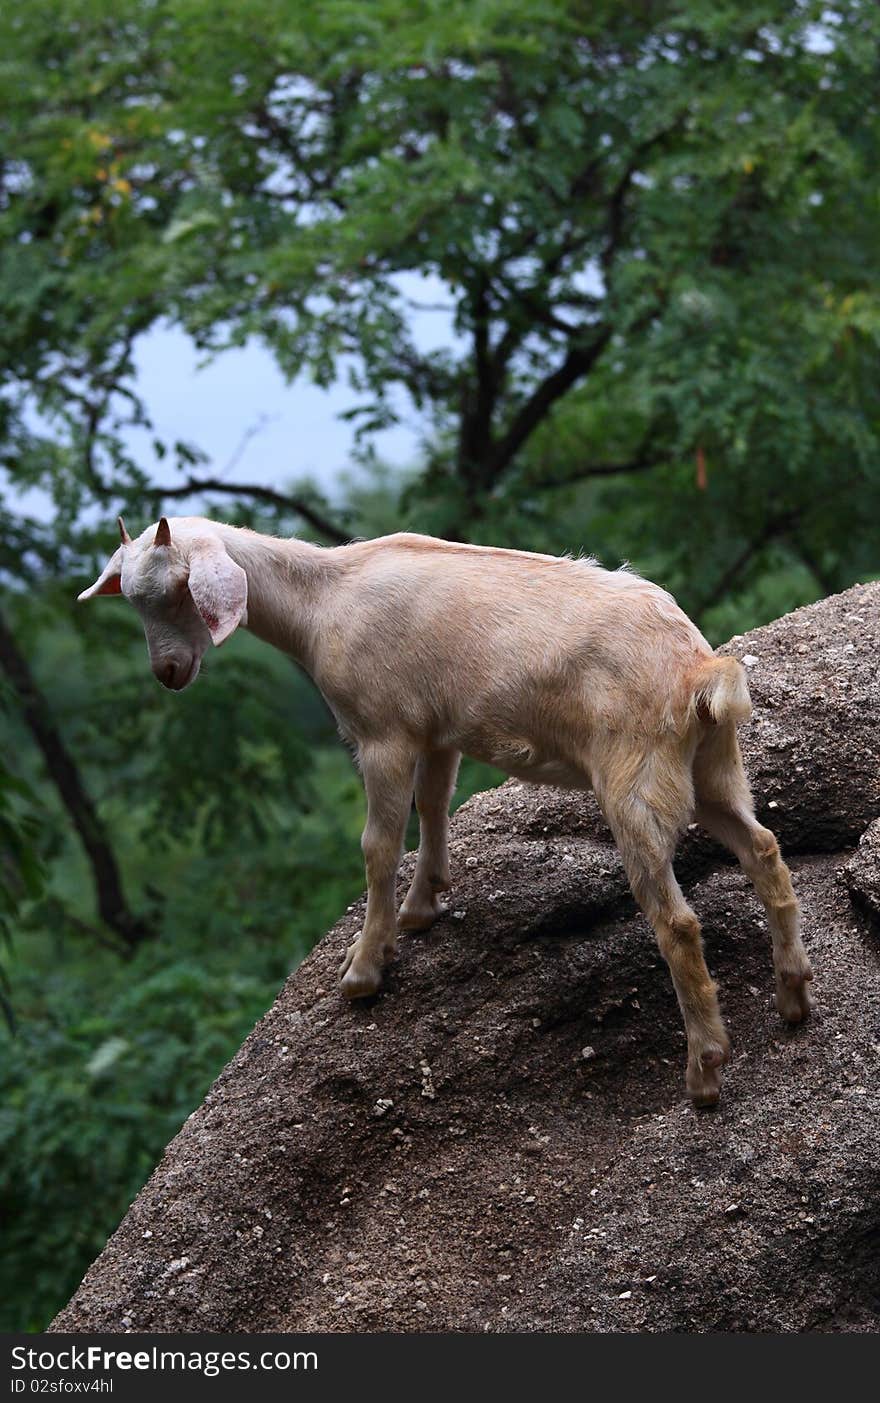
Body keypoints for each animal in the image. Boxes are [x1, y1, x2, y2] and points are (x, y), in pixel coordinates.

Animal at [79, 516, 814, 1105]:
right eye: (133, 600)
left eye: (181, 591)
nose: (169, 672)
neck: (322, 601)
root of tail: (699, 673)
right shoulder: (436, 729)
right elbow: (434, 805)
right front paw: (422, 906)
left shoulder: (383, 733)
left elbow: (378, 844)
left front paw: (364, 970)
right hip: (714, 767)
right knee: (765, 850)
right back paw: (794, 999)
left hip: (634, 777)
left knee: (678, 921)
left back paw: (705, 1071)